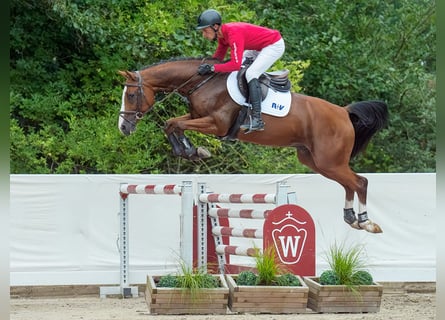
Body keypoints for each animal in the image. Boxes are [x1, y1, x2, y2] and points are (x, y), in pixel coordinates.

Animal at [117, 57, 386, 232]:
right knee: (349, 184)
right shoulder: (196, 118)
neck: (202, 83)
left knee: (360, 182)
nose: (123, 128)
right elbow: (172, 124)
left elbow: (174, 124)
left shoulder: (216, 125)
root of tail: (343, 112)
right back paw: (351, 219)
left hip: (329, 161)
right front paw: (190, 151)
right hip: (316, 161)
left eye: (131, 95)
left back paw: (365, 222)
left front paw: (193, 151)